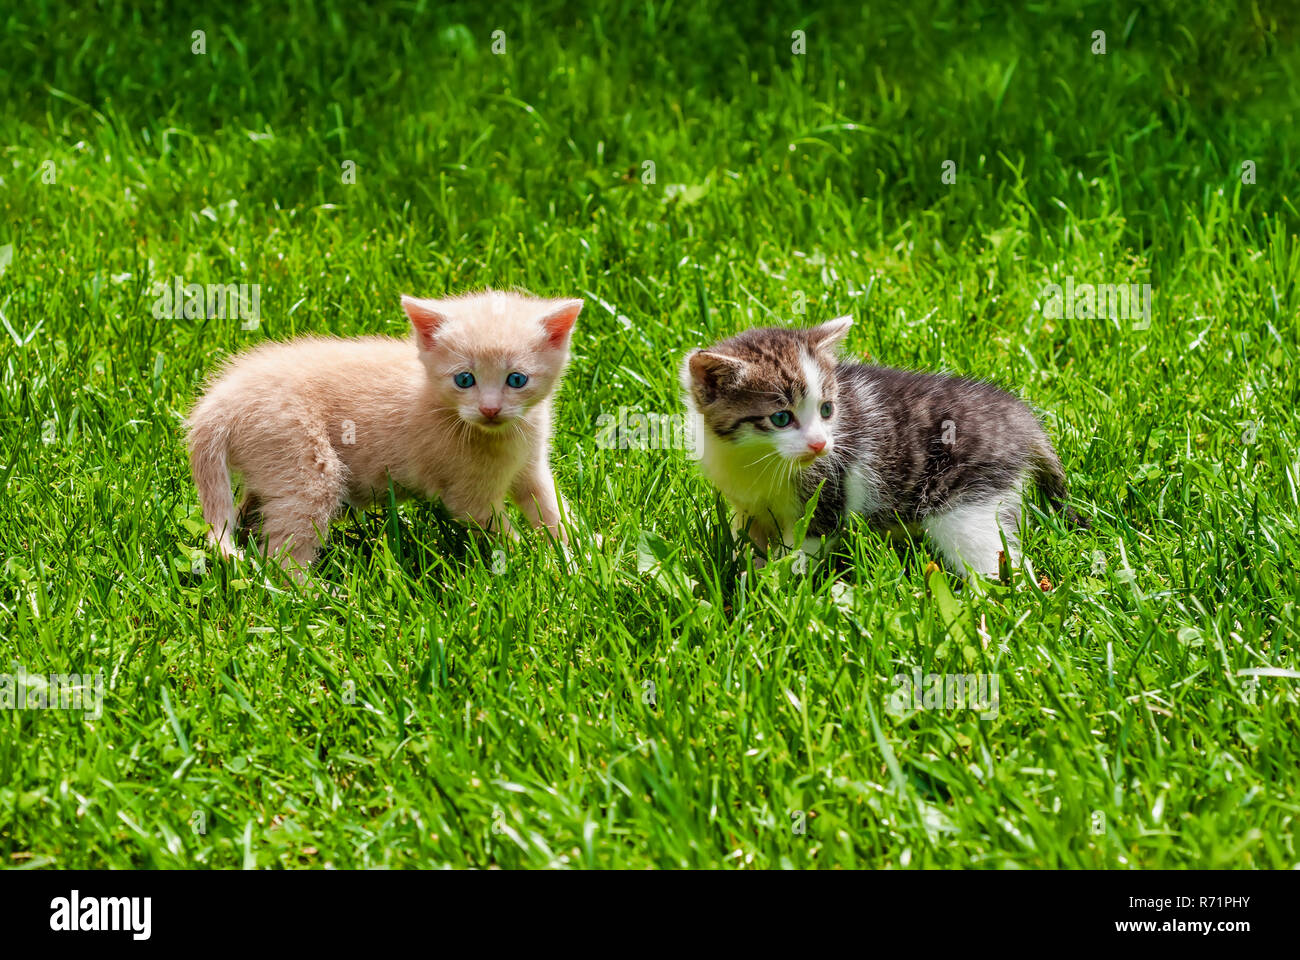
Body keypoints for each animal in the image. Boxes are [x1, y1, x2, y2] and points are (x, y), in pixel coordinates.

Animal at [185, 287, 582, 572]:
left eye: (517, 379)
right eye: (464, 379)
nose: (490, 409)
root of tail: (219, 402)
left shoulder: (531, 466)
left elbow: (552, 508)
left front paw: (580, 552)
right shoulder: (468, 498)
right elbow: (502, 530)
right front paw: (537, 562)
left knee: (250, 511)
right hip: (305, 464)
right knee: (281, 549)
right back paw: (313, 597)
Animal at [681, 317, 1086, 574]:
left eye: (827, 409)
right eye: (781, 418)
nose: (820, 444)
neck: (756, 459)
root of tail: (1022, 417)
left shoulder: (826, 501)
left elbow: (801, 550)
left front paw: (775, 587)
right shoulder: (747, 506)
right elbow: (746, 537)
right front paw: (744, 566)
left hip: (965, 500)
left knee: (998, 558)